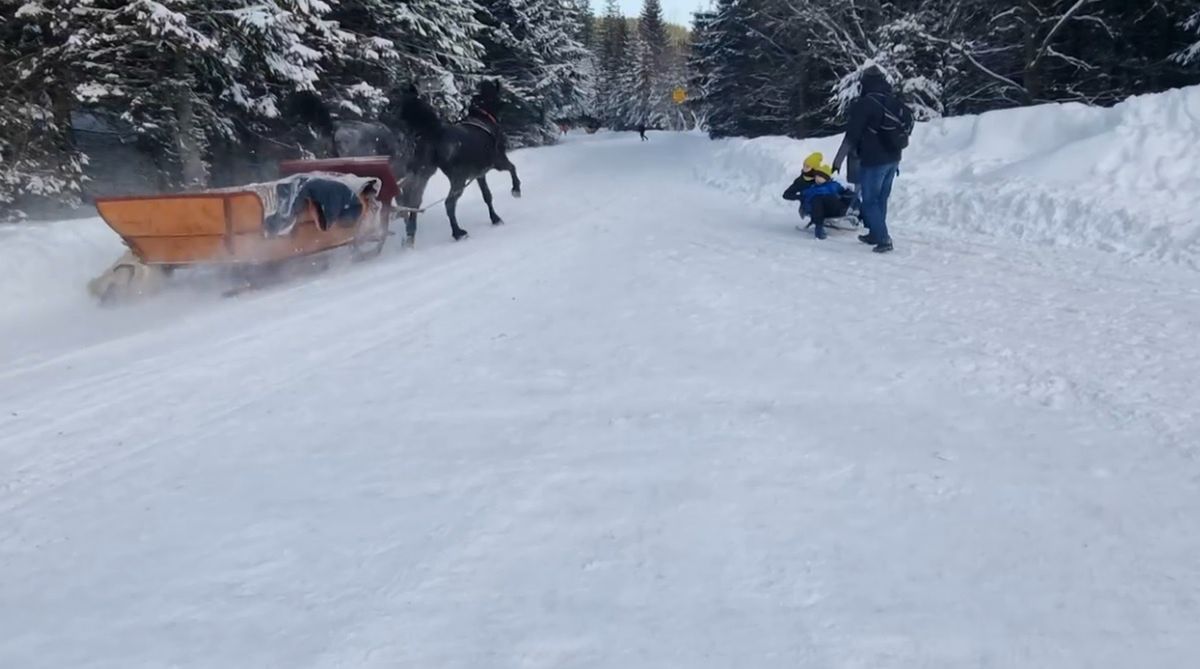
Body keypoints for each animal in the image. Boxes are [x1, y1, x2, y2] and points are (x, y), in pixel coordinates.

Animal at [398, 81, 520, 243]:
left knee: (413, 201)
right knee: (449, 203)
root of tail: (435, 132)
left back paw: (410, 235)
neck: (483, 117)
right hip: (458, 178)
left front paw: (495, 219)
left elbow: (487, 196)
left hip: (423, 172)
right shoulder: (498, 162)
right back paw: (458, 233)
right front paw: (516, 190)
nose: (508, 104)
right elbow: (512, 168)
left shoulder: (479, 174)